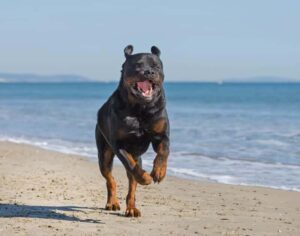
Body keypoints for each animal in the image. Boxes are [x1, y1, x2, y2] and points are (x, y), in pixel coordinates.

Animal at [96, 45, 171, 217]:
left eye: (156, 66)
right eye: (137, 65)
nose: (149, 72)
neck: (140, 108)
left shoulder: (161, 135)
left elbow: (163, 151)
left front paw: (159, 172)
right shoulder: (119, 144)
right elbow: (130, 164)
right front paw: (145, 178)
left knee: (132, 185)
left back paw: (131, 208)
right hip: (104, 154)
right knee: (111, 179)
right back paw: (112, 202)